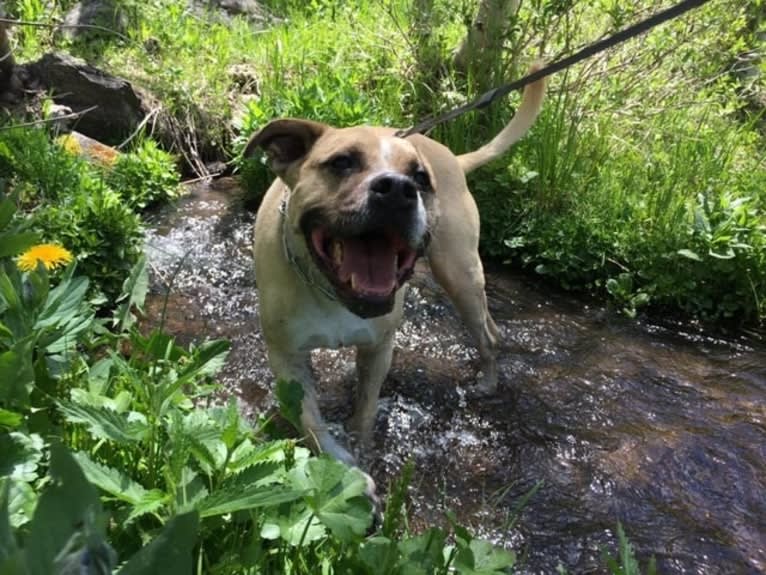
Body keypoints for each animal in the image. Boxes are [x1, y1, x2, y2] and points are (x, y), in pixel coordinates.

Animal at [246, 64, 544, 476]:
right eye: (342, 162)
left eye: (420, 178)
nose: (398, 189)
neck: (330, 291)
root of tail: (453, 157)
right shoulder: (286, 358)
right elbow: (309, 420)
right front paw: (344, 464)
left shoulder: (377, 349)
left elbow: (366, 407)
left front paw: (360, 445)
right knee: (490, 325)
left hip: (459, 274)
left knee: (483, 333)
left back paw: (487, 381)